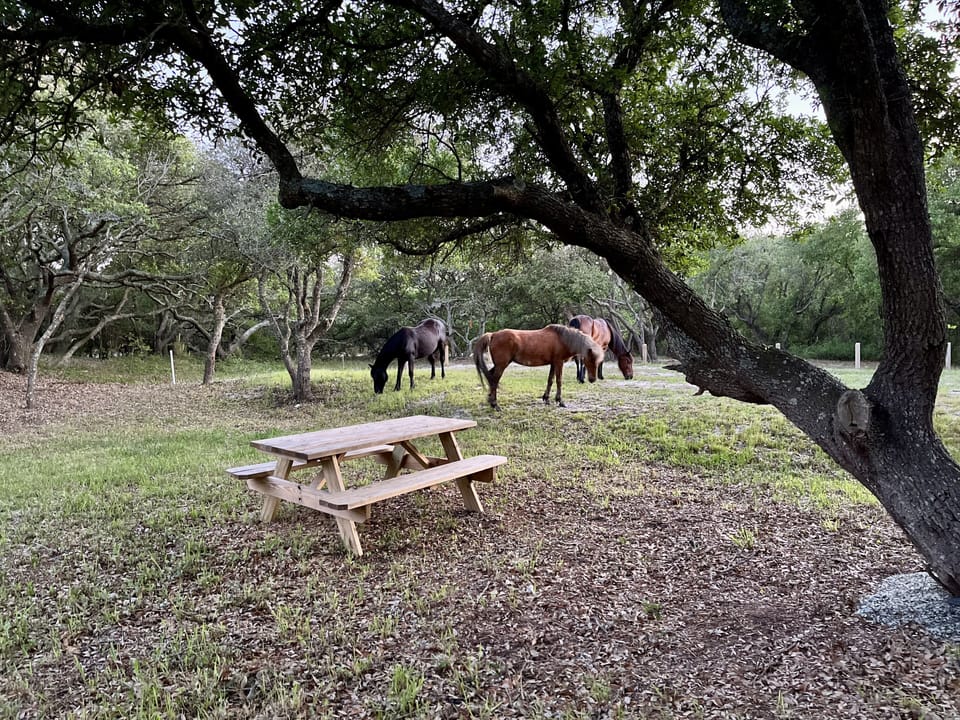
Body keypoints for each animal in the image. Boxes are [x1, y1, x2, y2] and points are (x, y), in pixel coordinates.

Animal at [473, 324, 604, 409]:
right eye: (591, 360)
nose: (592, 379)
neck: (563, 339)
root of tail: (493, 334)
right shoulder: (559, 362)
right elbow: (559, 381)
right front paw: (560, 401)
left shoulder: (553, 363)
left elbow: (550, 380)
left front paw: (546, 398)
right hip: (501, 365)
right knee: (494, 380)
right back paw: (495, 404)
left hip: (500, 365)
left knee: (490, 377)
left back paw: (490, 400)